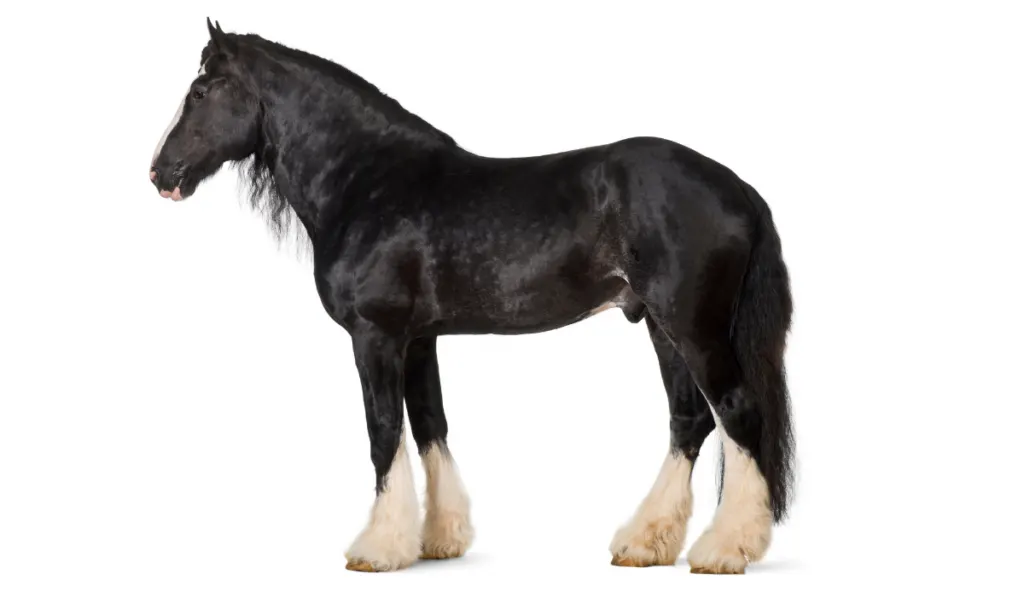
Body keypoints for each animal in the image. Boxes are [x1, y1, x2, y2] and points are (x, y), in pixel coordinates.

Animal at [148, 20, 794, 577]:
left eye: (201, 91)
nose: (161, 174)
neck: (369, 183)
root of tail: (738, 186)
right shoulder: (418, 340)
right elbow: (429, 424)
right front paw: (438, 539)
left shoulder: (375, 336)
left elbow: (384, 430)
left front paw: (377, 549)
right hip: (660, 326)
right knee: (689, 421)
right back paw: (645, 543)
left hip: (693, 327)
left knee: (736, 412)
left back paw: (724, 549)